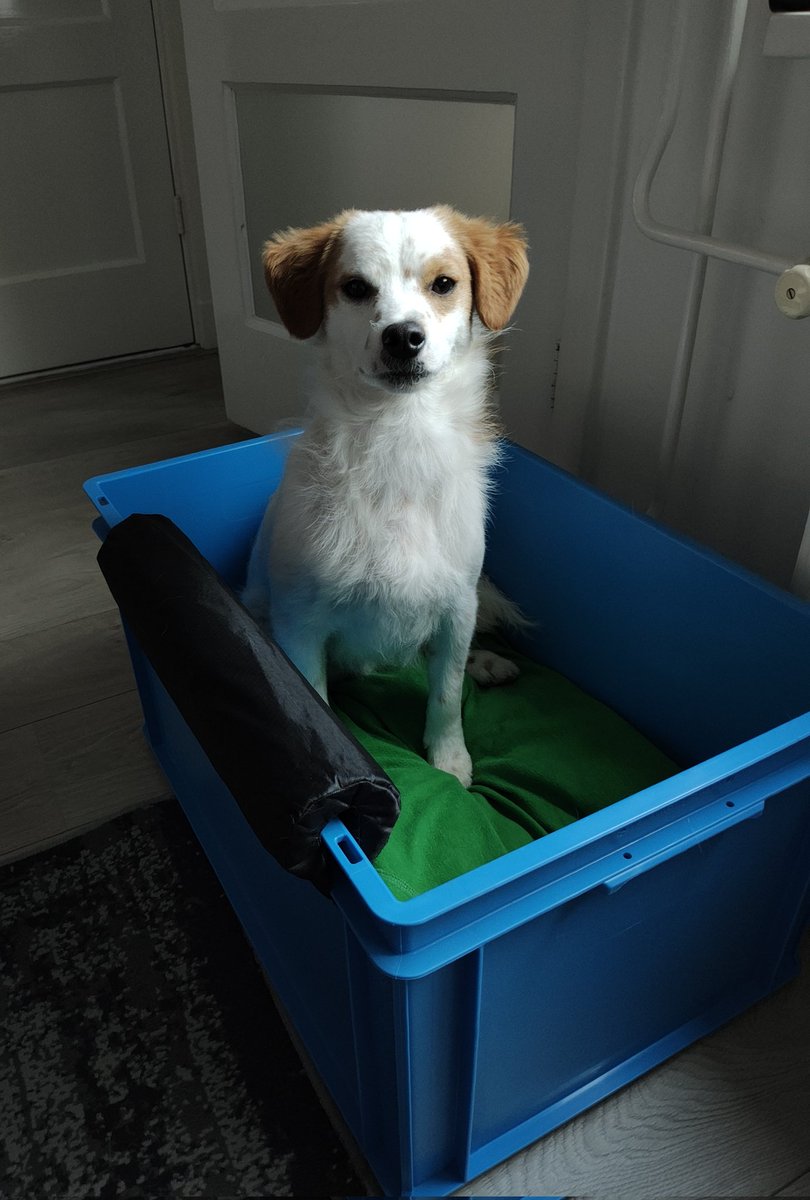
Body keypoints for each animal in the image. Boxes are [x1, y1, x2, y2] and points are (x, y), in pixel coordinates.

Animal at [243, 206, 528, 787]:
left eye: (444, 284)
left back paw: (485, 662)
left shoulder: (458, 605)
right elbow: (318, 704)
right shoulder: (298, 625)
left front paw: (450, 760)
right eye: (355, 287)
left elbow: (446, 694)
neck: (399, 438)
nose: (403, 337)